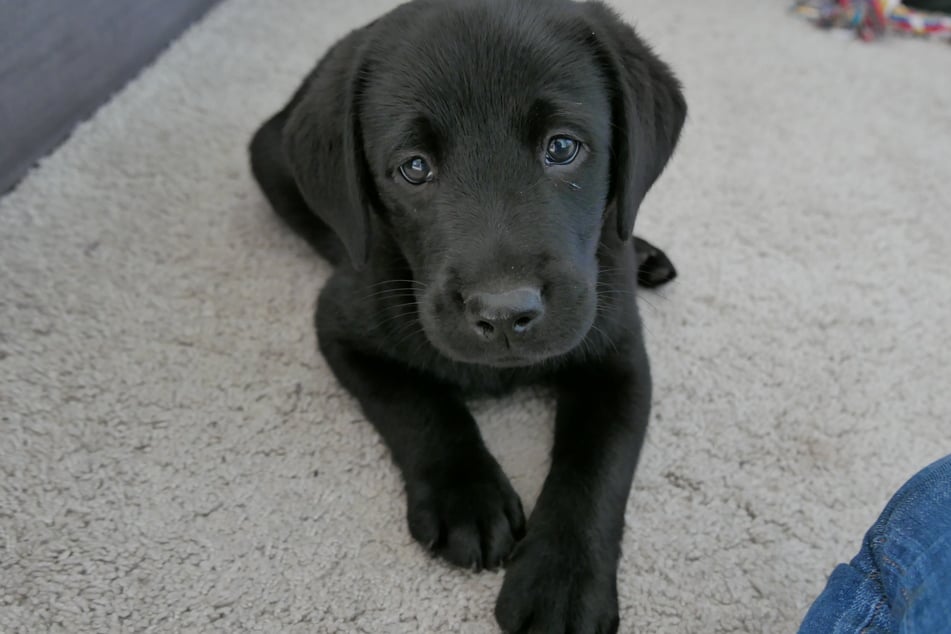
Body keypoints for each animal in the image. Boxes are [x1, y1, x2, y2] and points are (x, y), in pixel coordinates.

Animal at [251, 2, 684, 628]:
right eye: (414, 167)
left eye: (562, 148)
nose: (504, 315)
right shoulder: (341, 323)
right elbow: (418, 404)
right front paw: (467, 496)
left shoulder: (619, 355)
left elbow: (597, 468)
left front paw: (562, 583)